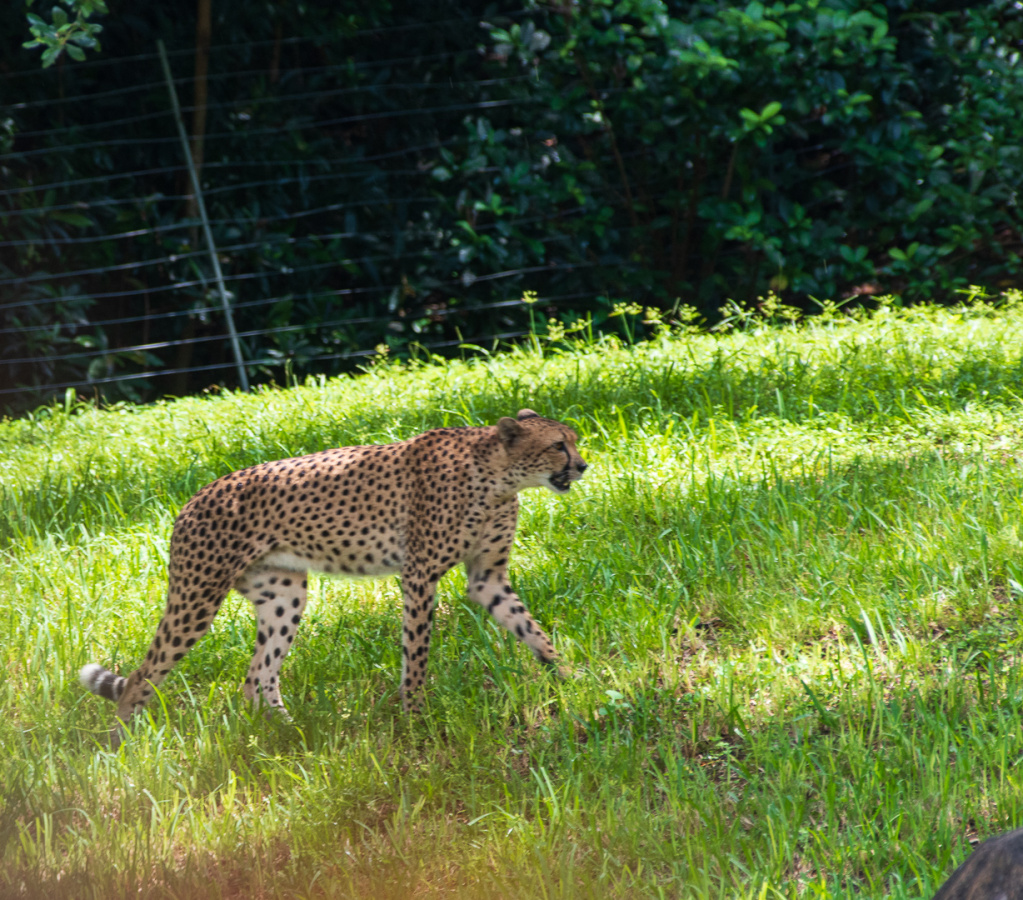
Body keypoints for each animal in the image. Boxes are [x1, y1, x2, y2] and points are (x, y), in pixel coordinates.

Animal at [80, 409, 586, 741]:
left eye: (574, 440)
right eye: (557, 445)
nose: (582, 465)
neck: (497, 477)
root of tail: (194, 497)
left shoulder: (487, 578)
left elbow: (532, 630)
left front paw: (573, 679)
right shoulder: (419, 576)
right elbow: (417, 653)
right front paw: (415, 715)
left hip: (283, 597)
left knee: (256, 674)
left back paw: (286, 733)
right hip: (197, 598)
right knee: (144, 674)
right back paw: (123, 748)